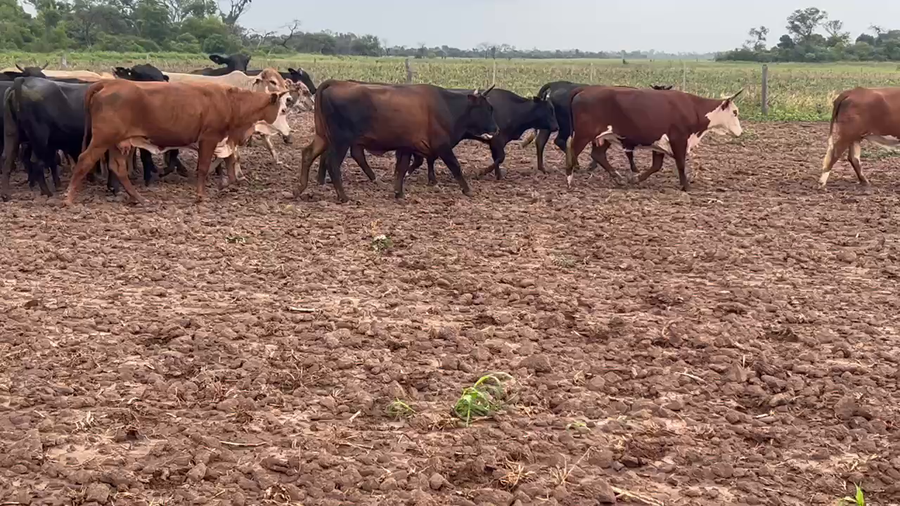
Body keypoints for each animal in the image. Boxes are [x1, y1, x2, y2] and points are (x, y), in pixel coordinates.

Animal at [63, 80, 291, 205]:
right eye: (283, 109)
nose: (290, 133)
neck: (230, 101)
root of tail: (109, 83)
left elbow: (225, 161)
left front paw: (228, 183)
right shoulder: (209, 138)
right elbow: (203, 167)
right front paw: (200, 196)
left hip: (118, 142)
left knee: (117, 168)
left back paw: (138, 198)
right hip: (102, 139)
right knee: (84, 160)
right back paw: (68, 199)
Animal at [295, 80, 498, 203]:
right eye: (487, 108)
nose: (496, 128)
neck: (448, 106)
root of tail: (336, 83)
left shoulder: (406, 146)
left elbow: (401, 168)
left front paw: (398, 192)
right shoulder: (443, 146)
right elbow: (455, 166)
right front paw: (468, 190)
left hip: (323, 136)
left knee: (308, 154)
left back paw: (300, 188)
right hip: (340, 141)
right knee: (332, 163)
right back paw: (343, 196)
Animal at [521, 82, 674, 173]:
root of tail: (555, 85)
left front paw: (593, 165)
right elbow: (628, 152)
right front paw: (634, 168)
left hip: (548, 125)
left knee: (540, 142)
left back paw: (542, 168)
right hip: (564, 126)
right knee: (560, 141)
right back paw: (575, 164)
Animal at [564, 86, 743, 191]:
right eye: (735, 112)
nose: (740, 132)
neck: (693, 108)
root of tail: (582, 92)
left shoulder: (660, 144)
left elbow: (656, 166)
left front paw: (636, 179)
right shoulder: (678, 139)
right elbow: (680, 163)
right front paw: (685, 186)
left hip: (605, 136)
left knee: (598, 155)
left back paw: (619, 179)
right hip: (583, 135)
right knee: (572, 152)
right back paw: (569, 180)